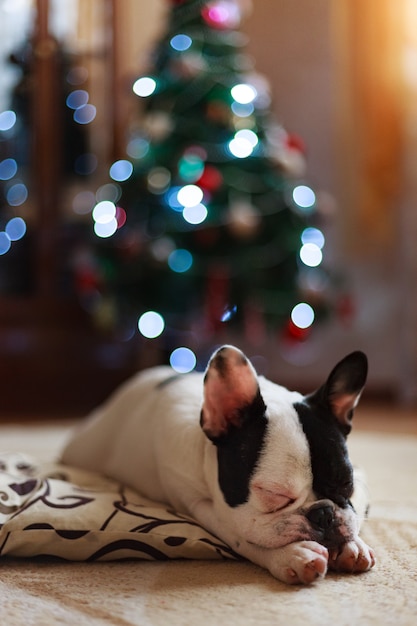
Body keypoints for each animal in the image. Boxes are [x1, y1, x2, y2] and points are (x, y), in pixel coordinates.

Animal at [61, 344, 374, 584]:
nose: (323, 514)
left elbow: (355, 516)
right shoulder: (202, 506)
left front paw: (354, 545)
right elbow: (241, 537)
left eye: (346, 484)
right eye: (273, 495)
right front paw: (293, 555)